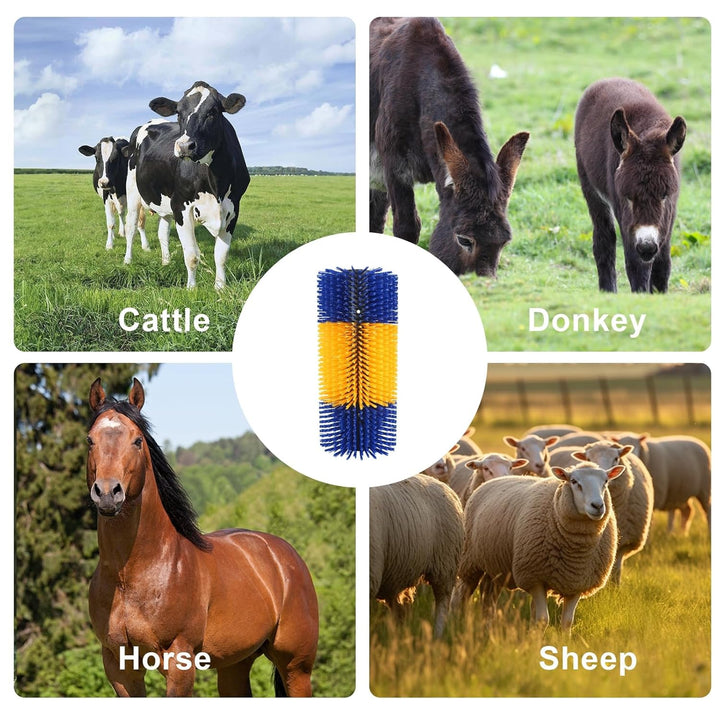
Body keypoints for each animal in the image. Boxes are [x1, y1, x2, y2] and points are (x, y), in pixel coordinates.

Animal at [86, 378, 319, 697]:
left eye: (137, 440)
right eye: (90, 440)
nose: (108, 493)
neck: (131, 575)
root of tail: (285, 556)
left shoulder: (179, 662)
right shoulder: (120, 667)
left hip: (296, 667)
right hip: (235, 664)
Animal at [123, 81, 251, 289]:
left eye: (213, 111)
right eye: (178, 113)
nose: (184, 146)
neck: (215, 184)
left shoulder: (233, 209)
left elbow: (221, 256)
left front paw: (220, 288)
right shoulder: (181, 205)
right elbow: (191, 255)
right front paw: (191, 288)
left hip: (164, 201)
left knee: (162, 232)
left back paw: (166, 262)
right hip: (133, 191)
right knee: (131, 227)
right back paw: (127, 260)